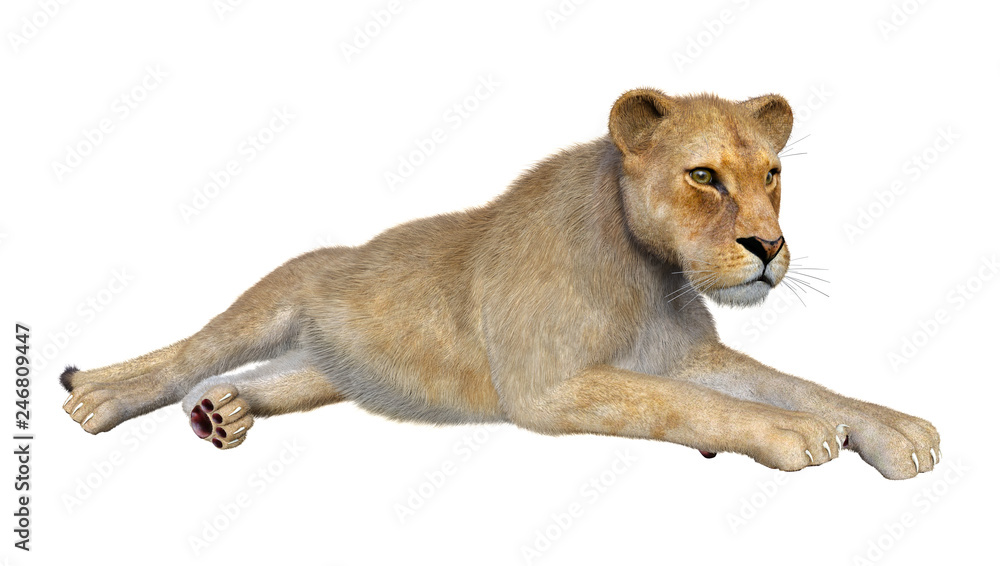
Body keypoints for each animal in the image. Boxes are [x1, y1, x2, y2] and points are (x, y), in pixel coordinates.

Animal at [60, 88, 939, 479]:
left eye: (772, 175)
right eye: (703, 176)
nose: (769, 246)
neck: (655, 276)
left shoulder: (685, 355)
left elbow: (797, 384)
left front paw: (897, 432)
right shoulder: (548, 387)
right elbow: (691, 405)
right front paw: (797, 437)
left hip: (330, 364)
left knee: (283, 375)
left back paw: (224, 411)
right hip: (273, 299)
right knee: (186, 353)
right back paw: (95, 396)